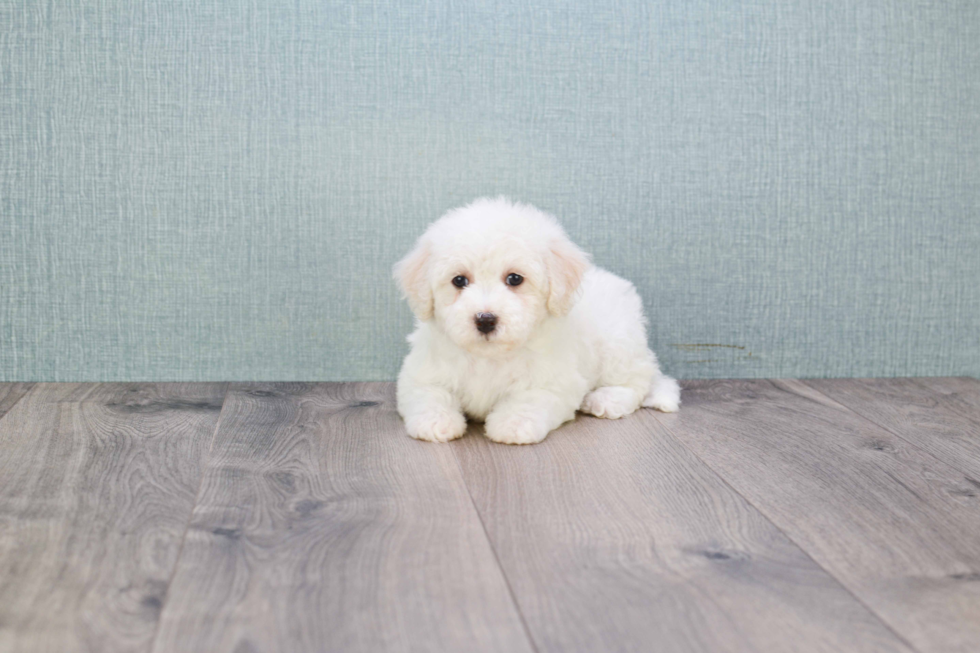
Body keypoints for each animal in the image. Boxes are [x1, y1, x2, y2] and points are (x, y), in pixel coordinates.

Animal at [394, 197, 676, 444]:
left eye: (514, 279)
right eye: (459, 280)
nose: (485, 319)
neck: (489, 356)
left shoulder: (554, 382)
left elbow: (529, 400)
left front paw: (513, 424)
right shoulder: (421, 373)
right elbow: (429, 394)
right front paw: (435, 422)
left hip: (618, 343)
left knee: (638, 379)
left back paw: (607, 398)